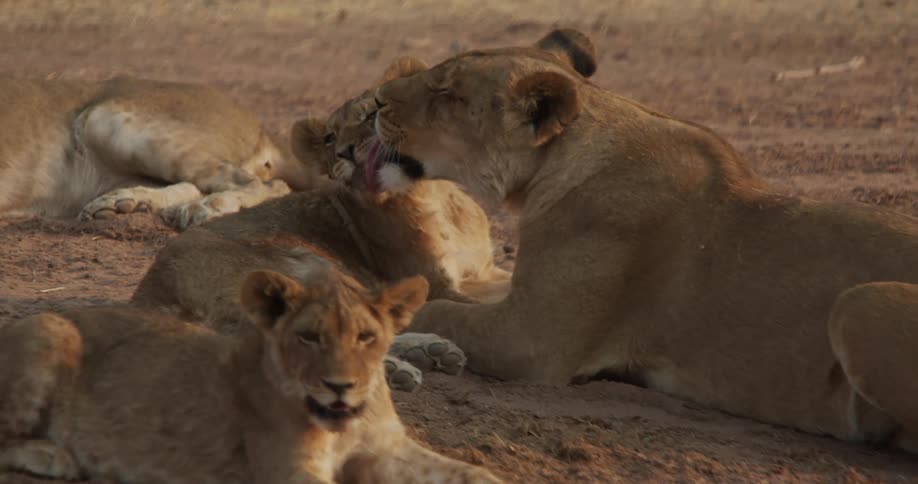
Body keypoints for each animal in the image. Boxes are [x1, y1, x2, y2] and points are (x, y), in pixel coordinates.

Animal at [0, 76, 321, 230]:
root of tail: (260, 124)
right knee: (194, 183)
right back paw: (124, 204)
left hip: (106, 120)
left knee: (269, 184)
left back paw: (207, 208)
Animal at [0, 269, 502, 483]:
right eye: (308, 337)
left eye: (366, 337)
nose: (340, 387)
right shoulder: (287, 468)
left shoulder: (388, 449)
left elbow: (471, 472)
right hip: (51, 329)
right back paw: (54, 457)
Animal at [132, 56, 510, 392]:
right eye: (330, 137)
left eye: (371, 115)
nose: (345, 151)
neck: (433, 196)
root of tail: (150, 291)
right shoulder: (438, 284)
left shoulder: (485, 269)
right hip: (310, 267)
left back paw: (429, 352)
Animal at [363, 28, 918, 451]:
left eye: (448, 93)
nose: (375, 100)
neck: (555, 161)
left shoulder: (529, 339)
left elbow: (438, 307)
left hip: (856, 306)